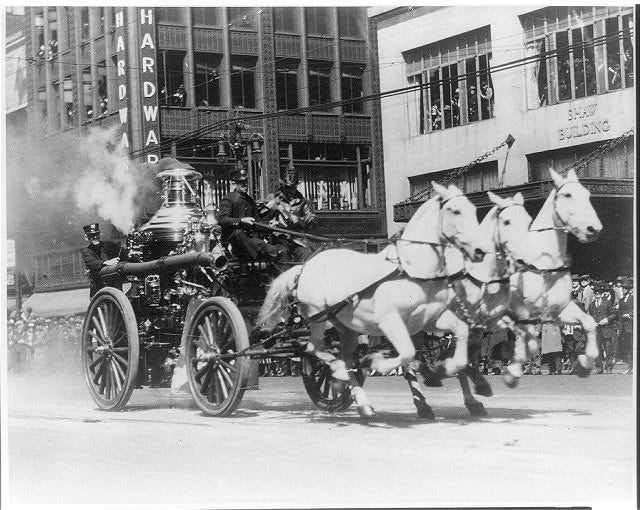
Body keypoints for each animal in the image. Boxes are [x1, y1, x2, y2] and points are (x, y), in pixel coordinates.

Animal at [258, 183, 488, 414]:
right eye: (456, 211)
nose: (480, 251)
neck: (411, 269)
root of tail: (303, 268)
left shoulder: (430, 319)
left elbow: (458, 341)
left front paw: (447, 376)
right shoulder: (391, 320)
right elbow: (408, 354)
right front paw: (377, 364)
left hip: (344, 326)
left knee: (341, 355)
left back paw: (360, 400)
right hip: (318, 318)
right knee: (314, 350)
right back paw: (342, 375)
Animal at [504, 168, 604, 382]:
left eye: (588, 194)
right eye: (567, 195)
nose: (593, 229)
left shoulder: (558, 309)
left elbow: (589, 323)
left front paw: (585, 362)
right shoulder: (524, 311)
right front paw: (513, 371)